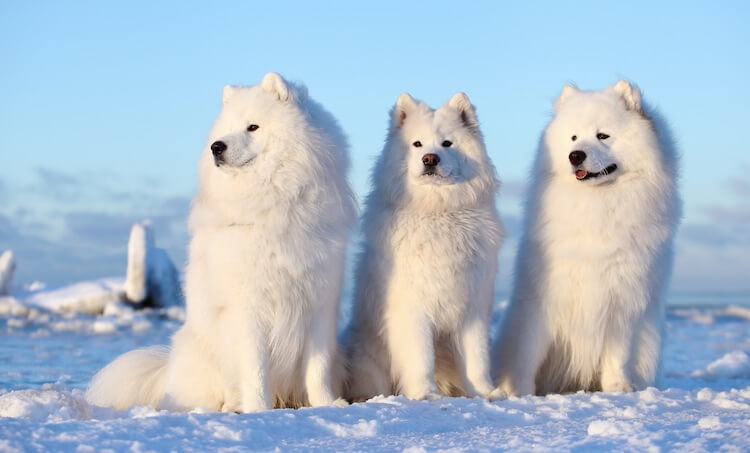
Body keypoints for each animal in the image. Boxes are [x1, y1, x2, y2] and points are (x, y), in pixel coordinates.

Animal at [88, 71, 358, 414]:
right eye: (225, 130)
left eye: (253, 126)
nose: (216, 147)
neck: (273, 205)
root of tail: (167, 367)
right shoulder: (248, 308)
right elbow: (255, 369)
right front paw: (259, 409)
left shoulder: (318, 305)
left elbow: (318, 368)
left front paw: (328, 404)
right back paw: (231, 407)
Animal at [346, 91, 506, 400]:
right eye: (417, 144)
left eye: (447, 143)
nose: (430, 159)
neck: (438, 212)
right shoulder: (413, 308)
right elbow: (421, 357)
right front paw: (426, 394)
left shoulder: (472, 308)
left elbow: (477, 358)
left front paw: (485, 392)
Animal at [494, 81, 680, 396]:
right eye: (573, 137)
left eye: (602, 135)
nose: (575, 155)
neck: (596, 205)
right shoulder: (542, 301)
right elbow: (527, 353)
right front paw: (518, 391)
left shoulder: (621, 298)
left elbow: (618, 353)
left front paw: (618, 387)